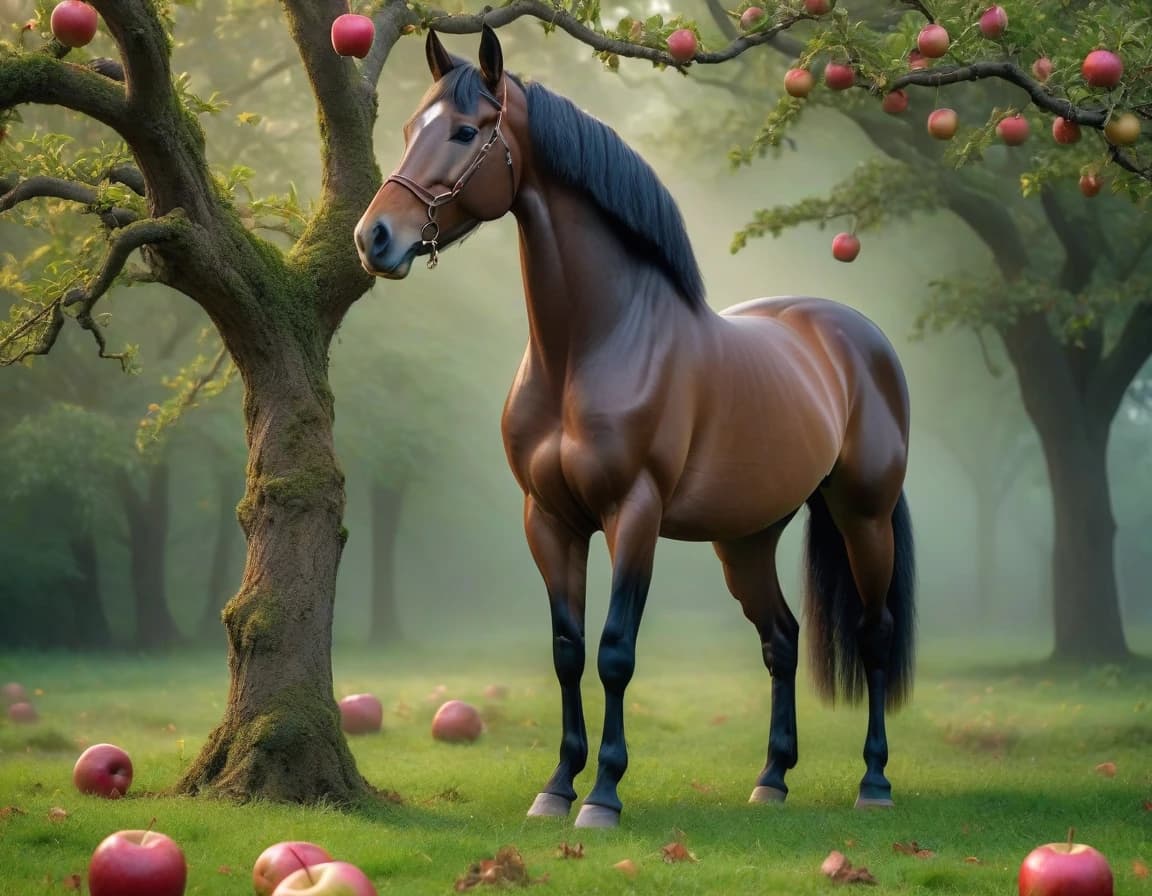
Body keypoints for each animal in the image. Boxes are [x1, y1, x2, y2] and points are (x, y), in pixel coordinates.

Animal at [355, 26, 916, 829]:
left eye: (464, 131)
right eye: (407, 130)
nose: (374, 238)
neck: (589, 346)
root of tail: (858, 336)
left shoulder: (634, 514)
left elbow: (615, 650)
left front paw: (604, 795)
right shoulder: (549, 520)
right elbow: (567, 649)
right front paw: (557, 787)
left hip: (862, 516)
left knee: (873, 636)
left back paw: (874, 780)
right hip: (746, 538)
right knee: (780, 640)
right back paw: (772, 778)